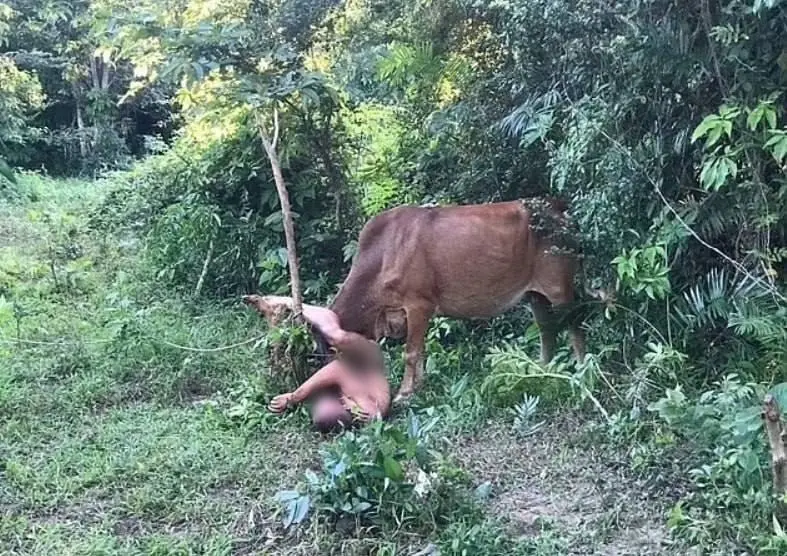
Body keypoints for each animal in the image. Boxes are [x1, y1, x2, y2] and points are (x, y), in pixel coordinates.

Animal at [327, 197, 587, 403]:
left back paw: (582, 368)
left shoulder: (419, 304)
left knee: (575, 324)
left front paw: (404, 393)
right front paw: (419, 386)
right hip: (535, 295)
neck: (381, 257)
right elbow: (420, 351)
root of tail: (560, 209)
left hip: (559, 287)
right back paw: (541, 369)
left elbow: (410, 353)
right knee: (546, 329)